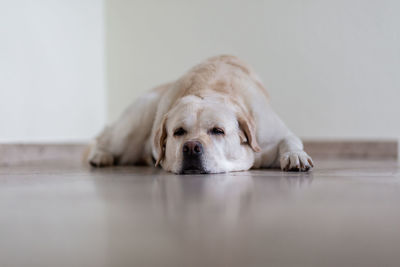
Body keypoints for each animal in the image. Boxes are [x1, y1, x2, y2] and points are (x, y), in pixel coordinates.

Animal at [86, 55, 312, 175]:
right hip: (137, 119)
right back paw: (100, 155)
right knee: (105, 139)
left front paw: (295, 156)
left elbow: (289, 140)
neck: (210, 88)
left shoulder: (274, 133)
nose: (191, 147)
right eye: (178, 132)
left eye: (218, 131)